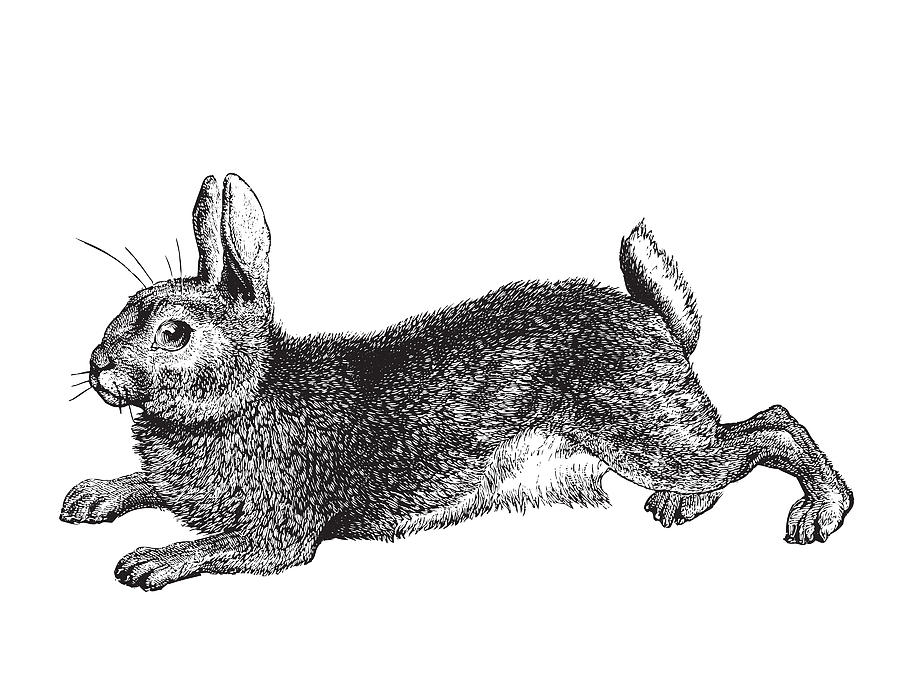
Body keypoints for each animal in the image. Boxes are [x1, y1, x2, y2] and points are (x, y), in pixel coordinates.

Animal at [61, 173, 854, 591]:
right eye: (129, 307)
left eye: (174, 332)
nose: (97, 365)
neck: (246, 394)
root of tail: (656, 322)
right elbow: (148, 485)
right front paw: (89, 497)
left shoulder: (277, 533)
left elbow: (223, 548)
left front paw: (147, 561)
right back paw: (680, 507)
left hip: (643, 430)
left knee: (769, 427)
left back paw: (818, 513)